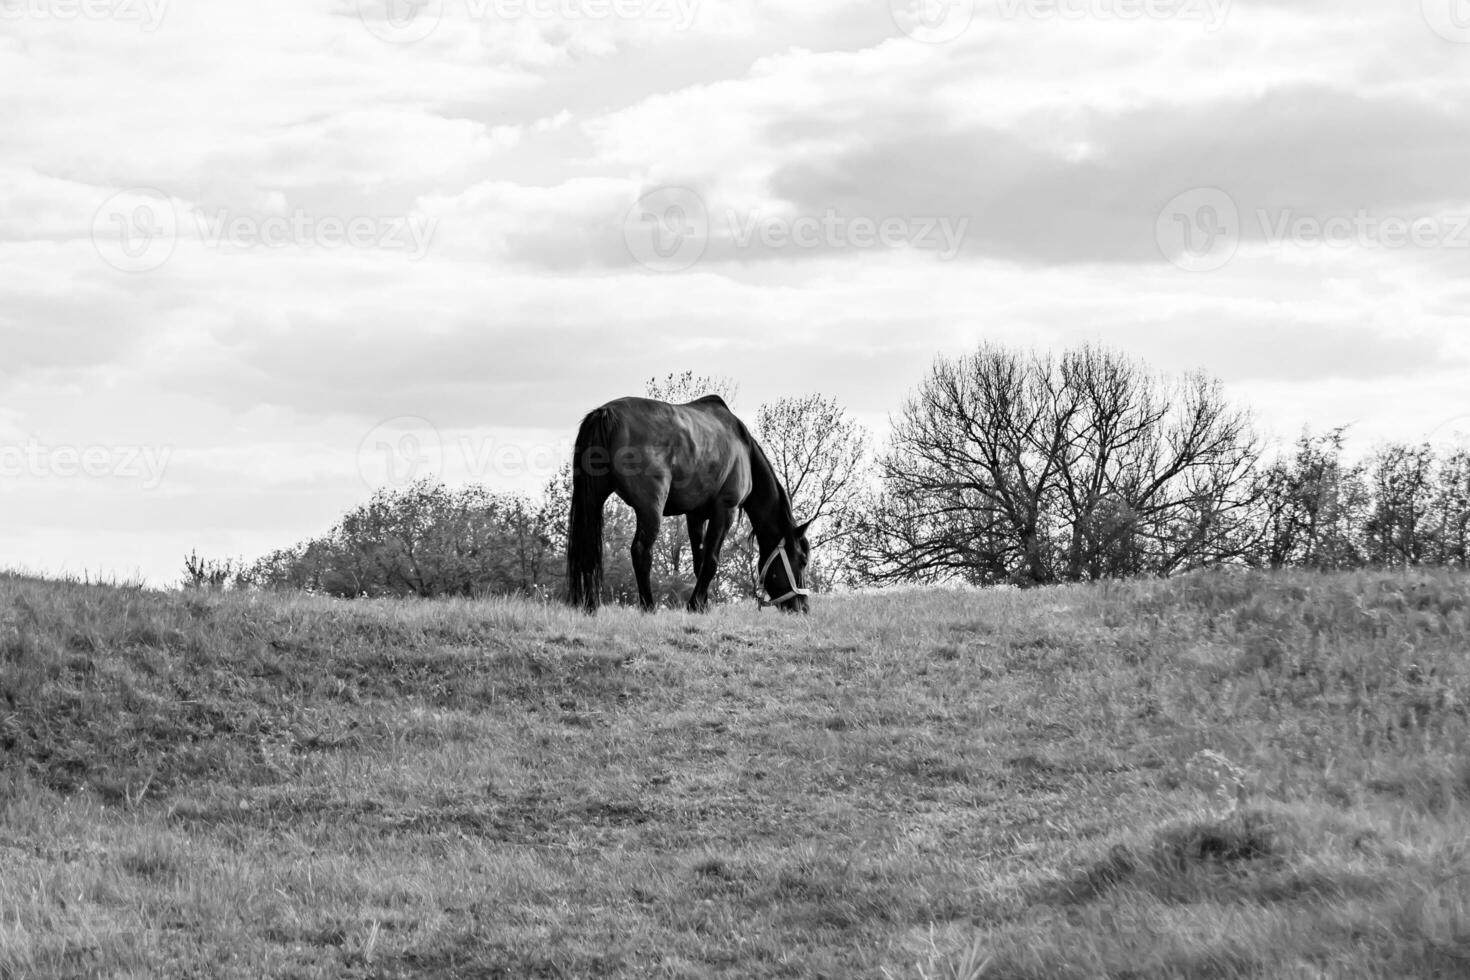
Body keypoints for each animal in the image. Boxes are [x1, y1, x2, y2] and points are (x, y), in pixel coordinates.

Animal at [564, 393, 817, 608]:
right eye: (803, 560)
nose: (803, 607)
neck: (743, 447)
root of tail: (605, 413)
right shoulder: (725, 510)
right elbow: (711, 561)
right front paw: (695, 604)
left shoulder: (695, 515)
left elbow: (700, 561)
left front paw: (703, 605)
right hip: (650, 508)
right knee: (641, 552)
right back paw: (648, 606)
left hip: (593, 502)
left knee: (589, 550)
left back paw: (590, 606)